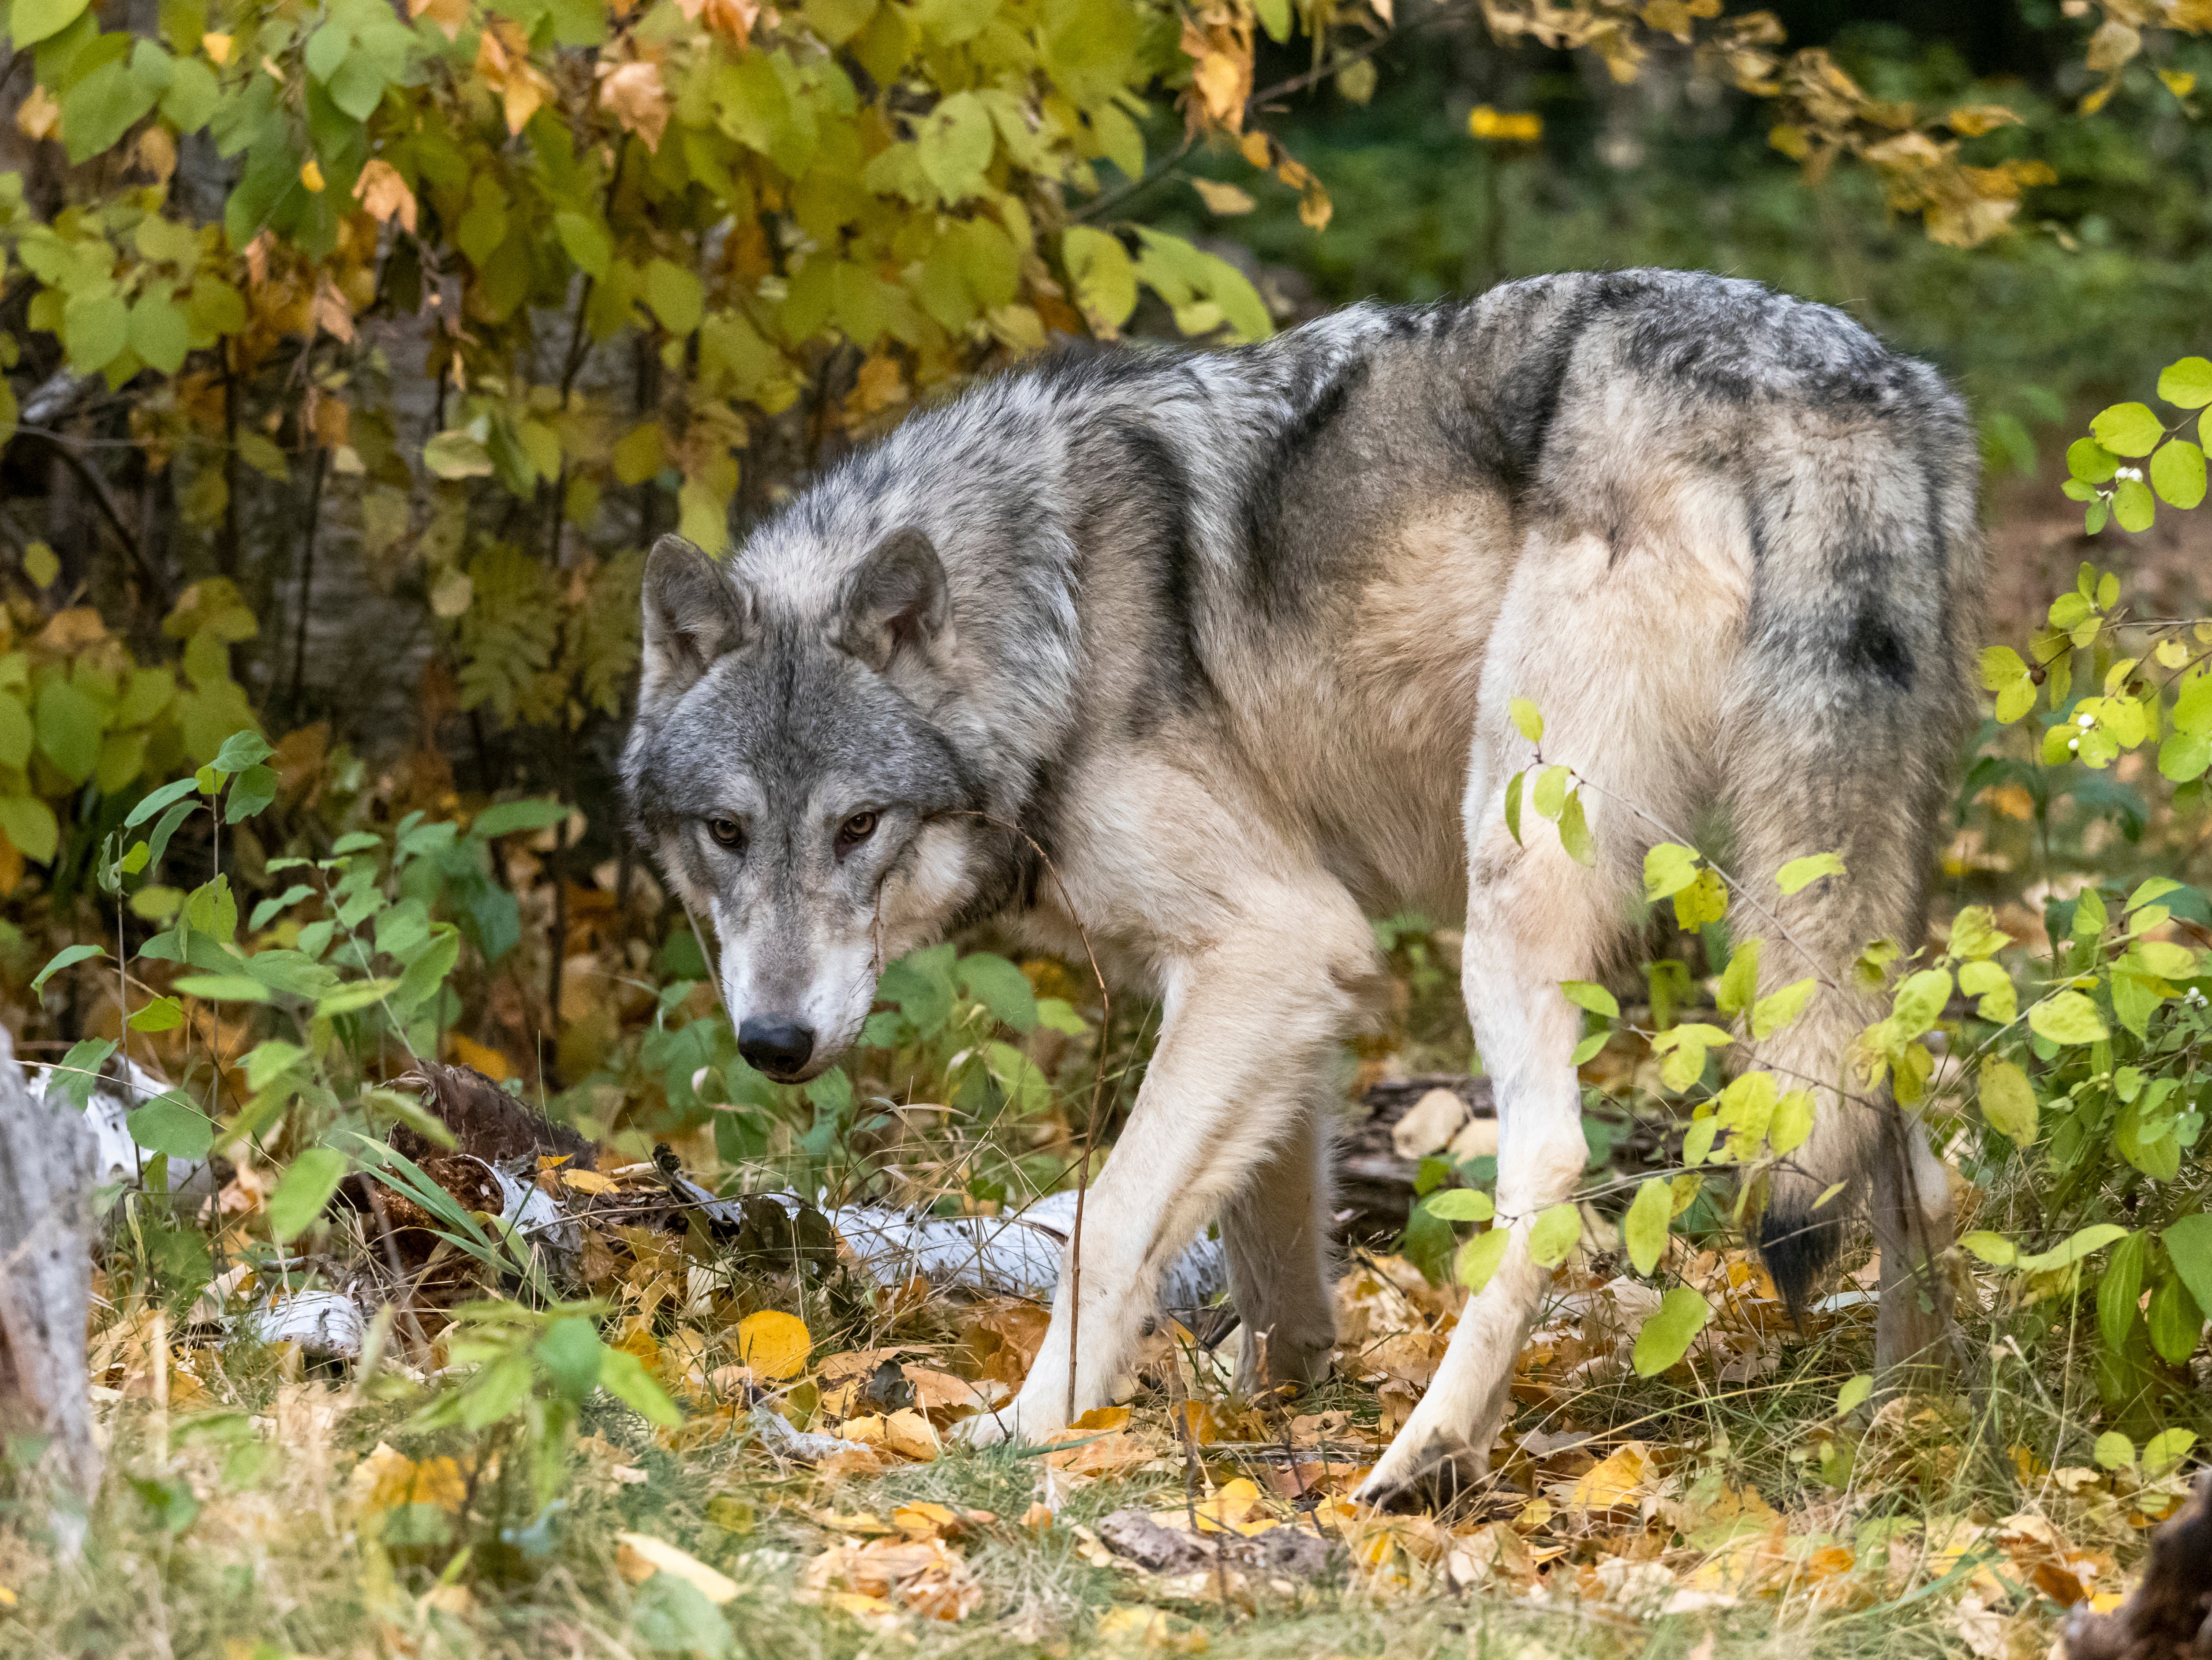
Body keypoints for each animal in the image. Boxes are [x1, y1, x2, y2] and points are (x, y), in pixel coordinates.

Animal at [624, 273, 1991, 1505]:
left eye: (859, 826)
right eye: (727, 832)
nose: (775, 1041)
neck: (1051, 620)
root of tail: (1819, 384)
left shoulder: (1275, 943)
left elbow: (1113, 1220)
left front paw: (1025, 1433)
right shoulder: (1281, 983)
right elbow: (1268, 1249)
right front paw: (1263, 1410)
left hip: (1523, 897)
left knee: (1550, 1158)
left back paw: (1424, 1458)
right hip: (1795, 920)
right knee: (1907, 1157)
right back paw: (1909, 1429)